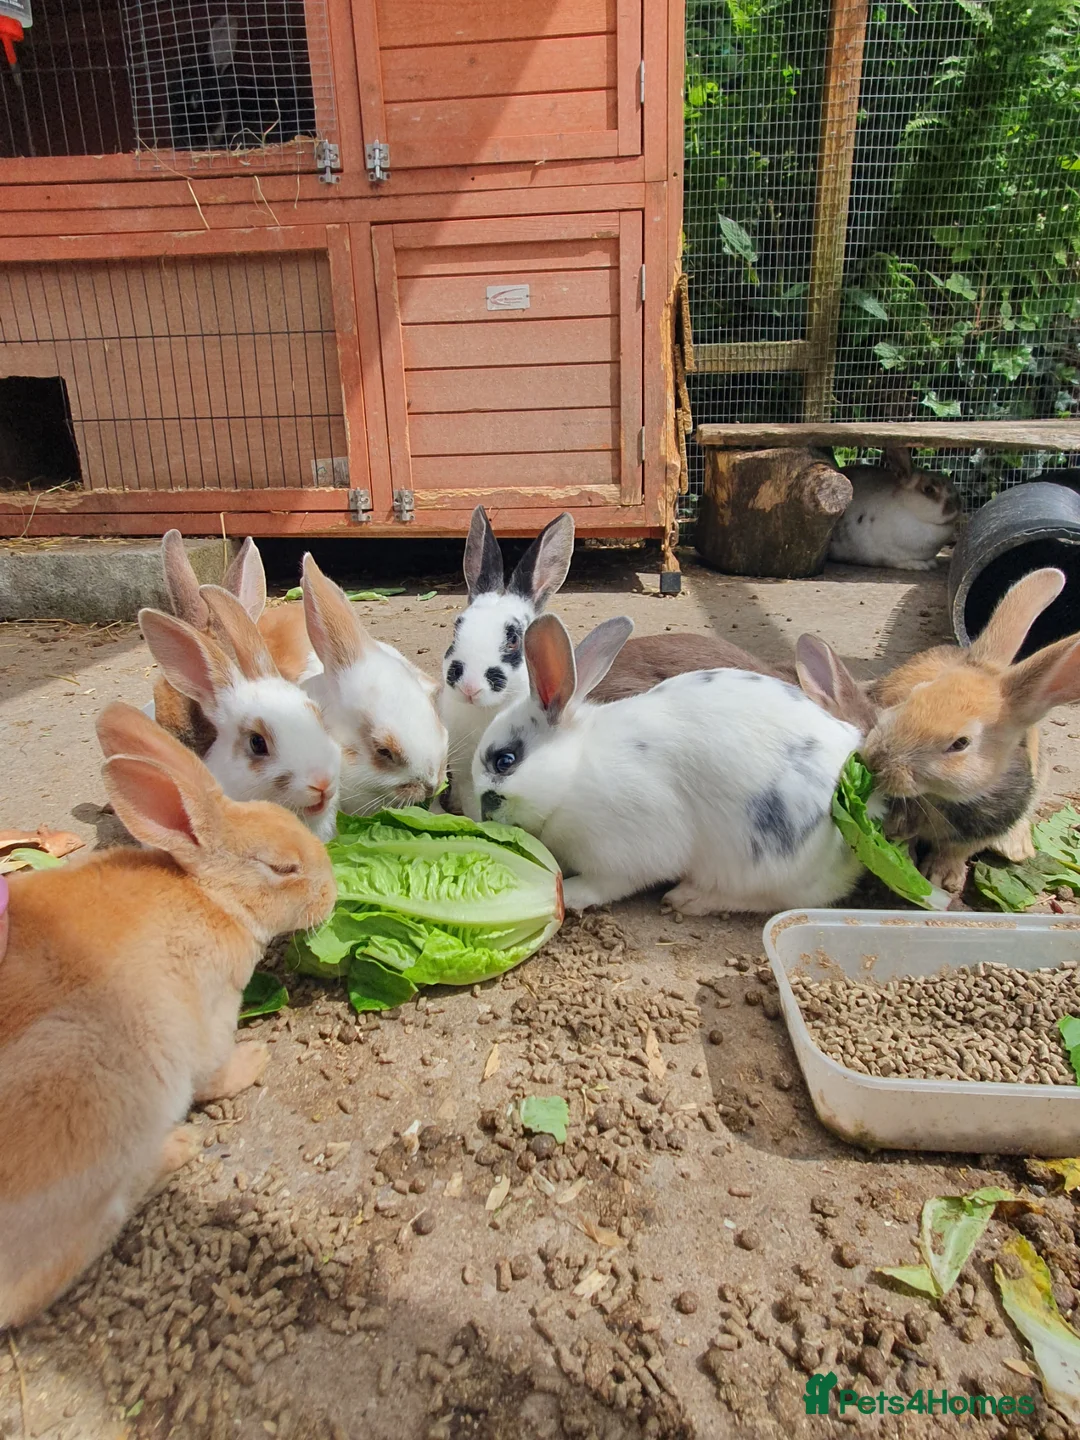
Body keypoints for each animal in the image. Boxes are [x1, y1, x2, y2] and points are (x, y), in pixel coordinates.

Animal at [0, 701, 336, 1329]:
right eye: (282, 868)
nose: (333, 893)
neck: (212, 896)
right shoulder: (206, 1012)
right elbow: (213, 1070)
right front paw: (255, 1060)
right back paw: (175, 1150)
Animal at [471, 613, 865, 916]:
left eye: (505, 761)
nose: (482, 814)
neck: (573, 772)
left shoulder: (627, 852)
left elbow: (606, 884)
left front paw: (569, 895)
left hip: (760, 866)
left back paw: (688, 899)